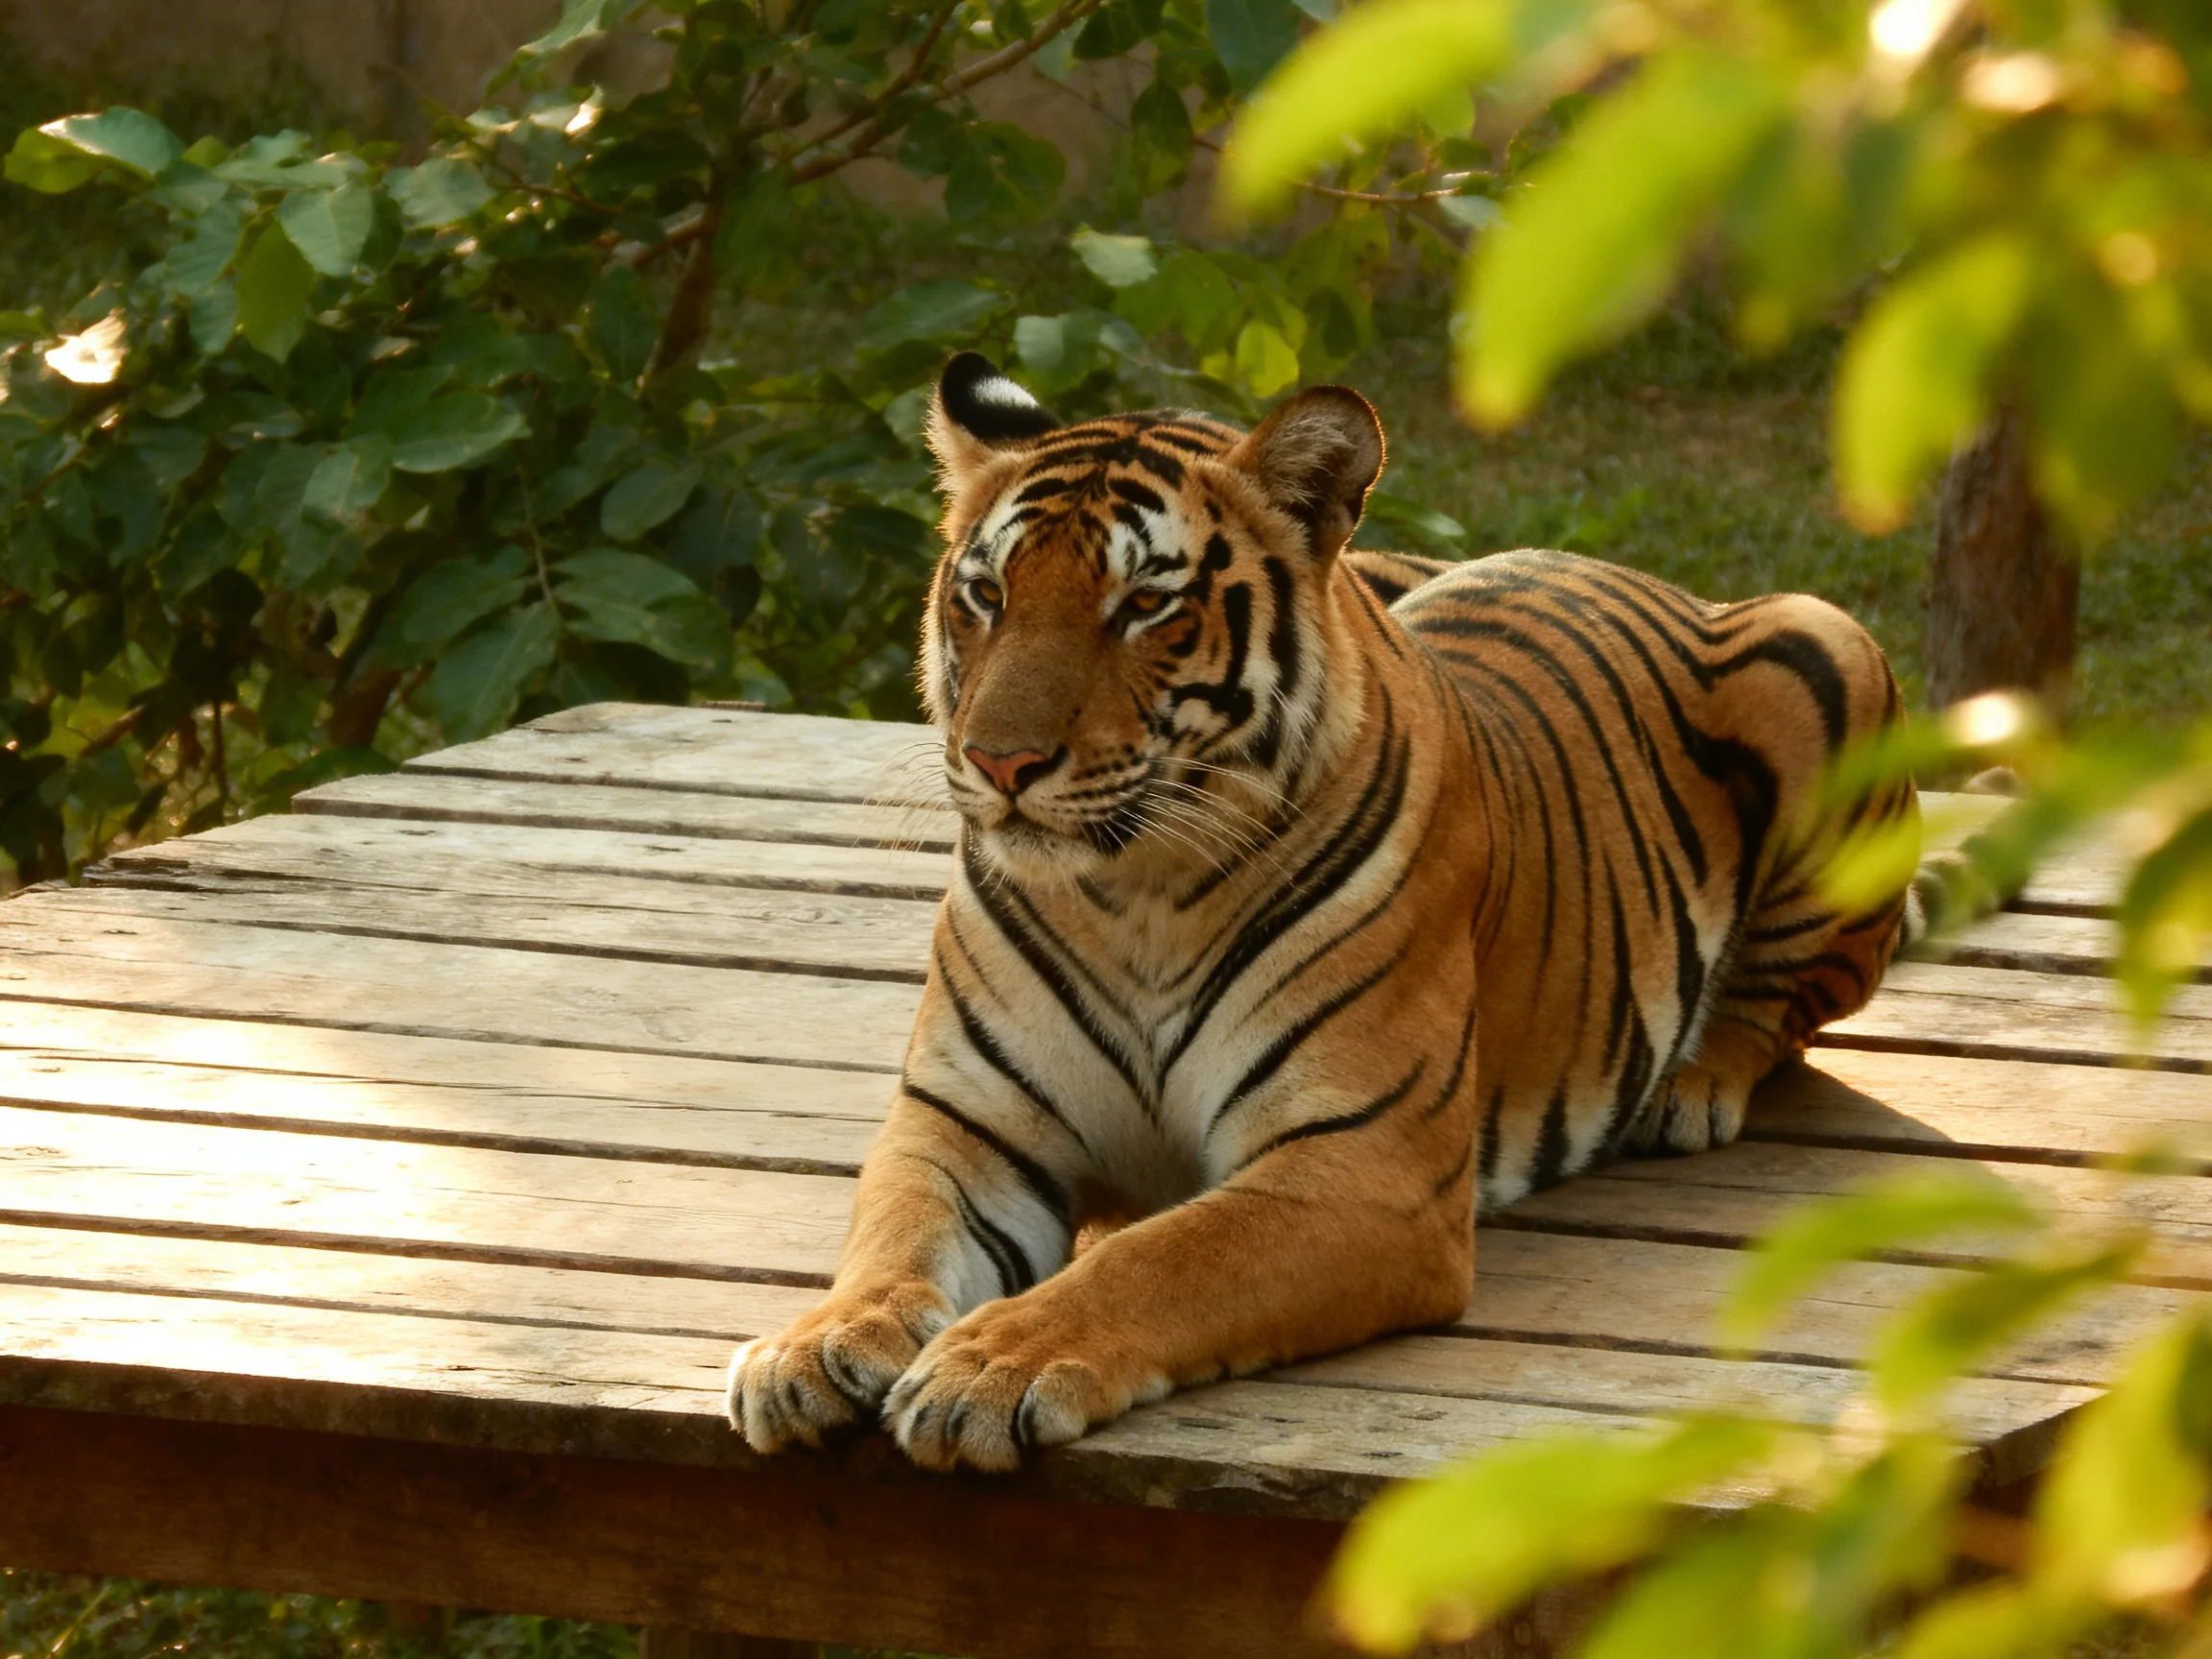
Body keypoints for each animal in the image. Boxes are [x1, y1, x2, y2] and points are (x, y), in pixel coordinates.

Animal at [727, 350, 1922, 1473]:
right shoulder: (968, 1120)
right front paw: (814, 1348)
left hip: (1827, 653)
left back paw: (1691, 1088)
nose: (998, 761)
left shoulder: (1361, 1164)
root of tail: (1636, 572)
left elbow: (1160, 1259)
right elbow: (896, 1238)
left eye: (1145, 605)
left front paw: (988, 1366)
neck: (1131, 897)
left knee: (1787, 1007)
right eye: (987, 595)